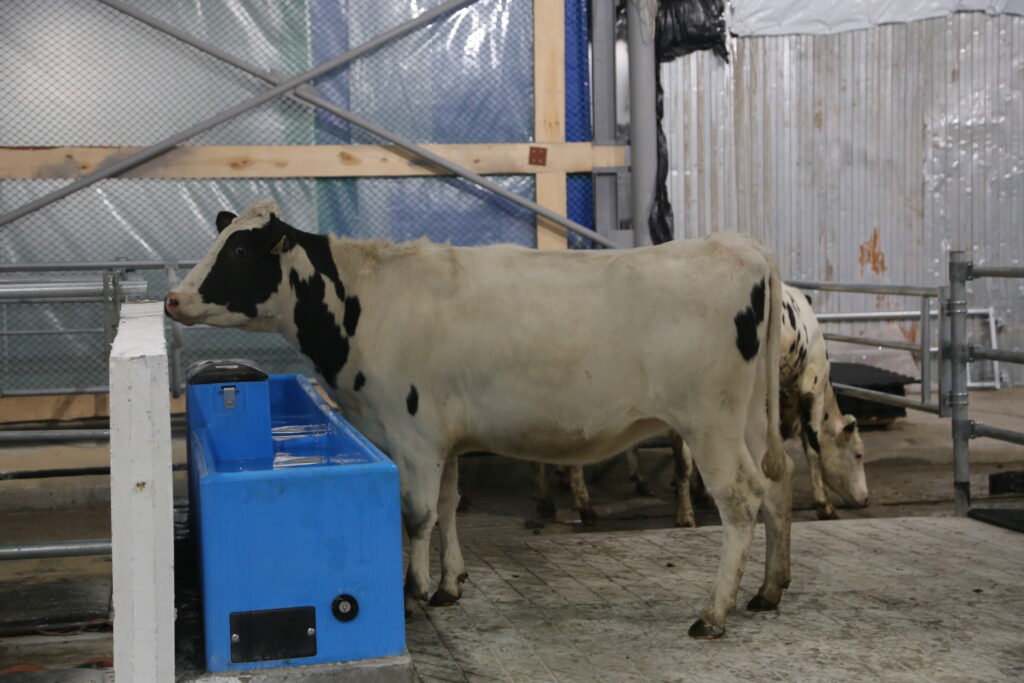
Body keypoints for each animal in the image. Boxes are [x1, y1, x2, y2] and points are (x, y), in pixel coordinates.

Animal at [165, 199, 793, 639]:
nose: (172, 298)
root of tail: (742, 246)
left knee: (741, 499)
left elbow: (417, 516)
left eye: (238, 252)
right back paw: (768, 591)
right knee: (777, 488)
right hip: (751, 420)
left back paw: (714, 613)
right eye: (219, 240)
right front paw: (449, 585)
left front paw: (413, 591)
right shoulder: (442, 439)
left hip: (710, 423)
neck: (366, 303)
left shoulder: (414, 436)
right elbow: (447, 508)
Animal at [533, 284, 870, 525]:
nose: (865, 500)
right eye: (858, 454)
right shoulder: (810, 390)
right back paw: (587, 507)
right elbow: (813, 450)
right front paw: (824, 507)